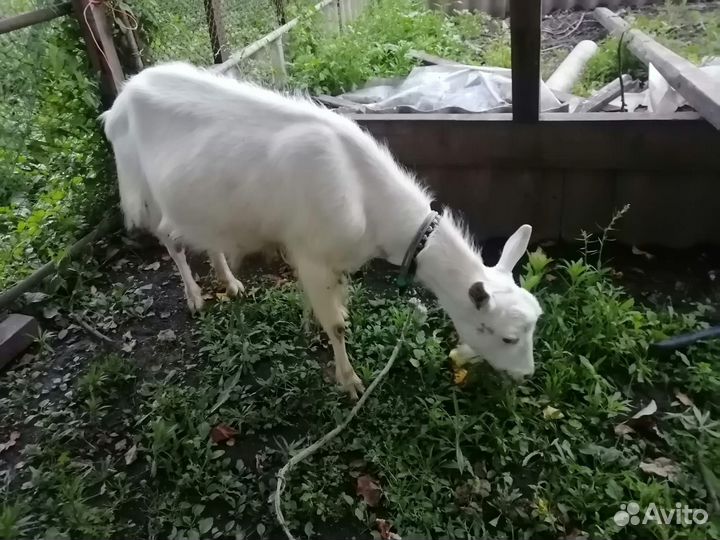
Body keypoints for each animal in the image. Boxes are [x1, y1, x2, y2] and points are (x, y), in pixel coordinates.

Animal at [101, 62, 542, 399]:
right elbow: (337, 326)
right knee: (170, 240)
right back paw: (195, 296)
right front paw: (350, 381)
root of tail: (120, 100)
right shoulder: (311, 251)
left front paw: (322, 317)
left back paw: (231, 283)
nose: (526, 375)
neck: (365, 197)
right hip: (142, 185)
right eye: (507, 337)